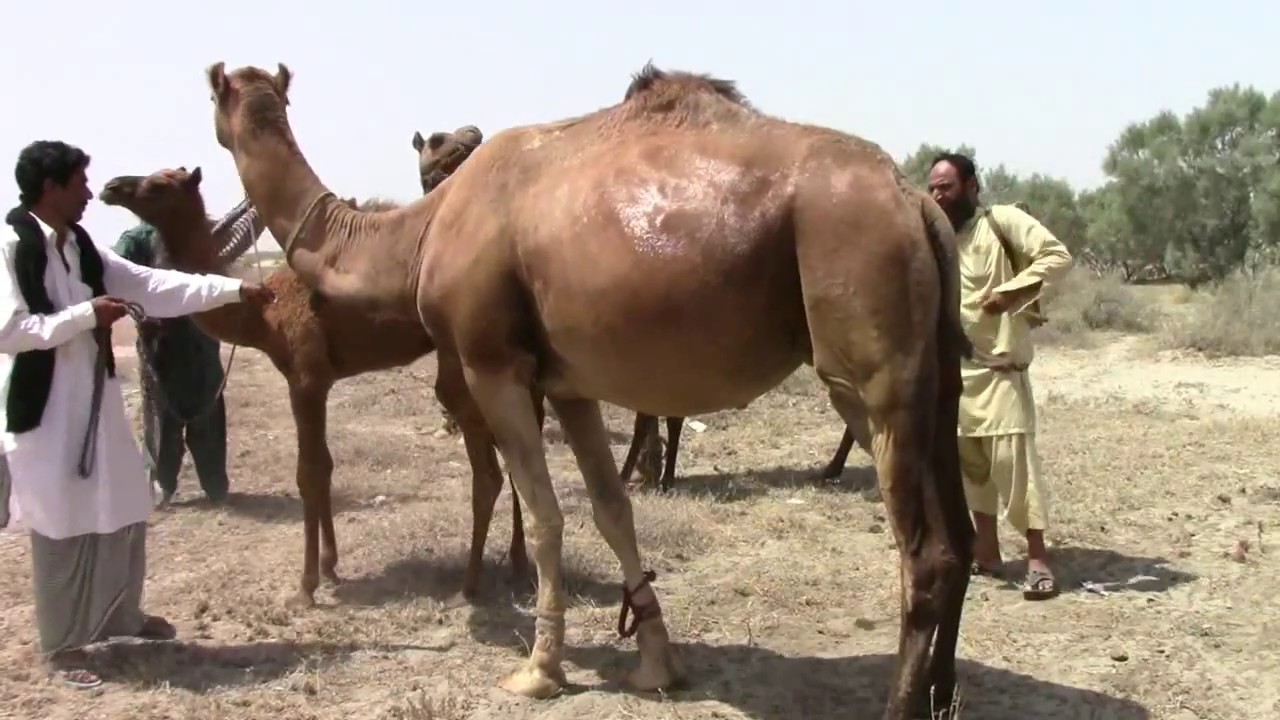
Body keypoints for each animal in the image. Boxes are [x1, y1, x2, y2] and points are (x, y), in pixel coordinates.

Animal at [97, 153, 529, 609]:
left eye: (158, 186)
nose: (111, 186)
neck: (262, 315)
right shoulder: (318, 380)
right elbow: (325, 466)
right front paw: (330, 565)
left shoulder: (305, 379)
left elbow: (309, 472)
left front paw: (307, 585)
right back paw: (517, 563)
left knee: (488, 470)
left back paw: (471, 585)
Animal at [206, 60, 998, 719]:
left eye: (216, 94)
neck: (422, 231)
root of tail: (916, 205)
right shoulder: (568, 381)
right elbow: (613, 509)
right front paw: (657, 664)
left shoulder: (493, 363)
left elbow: (546, 514)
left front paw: (539, 669)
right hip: (936, 373)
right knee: (957, 537)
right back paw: (944, 692)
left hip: (867, 361)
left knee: (923, 552)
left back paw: (902, 705)